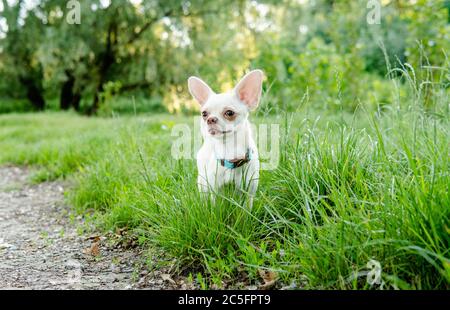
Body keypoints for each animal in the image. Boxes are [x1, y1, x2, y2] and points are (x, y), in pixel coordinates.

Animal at [187, 69, 264, 206]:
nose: (210, 119)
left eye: (229, 113)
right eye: (204, 114)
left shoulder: (249, 191)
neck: (229, 150)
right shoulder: (215, 191)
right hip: (202, 181)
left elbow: (247, 209)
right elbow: (215, 206)